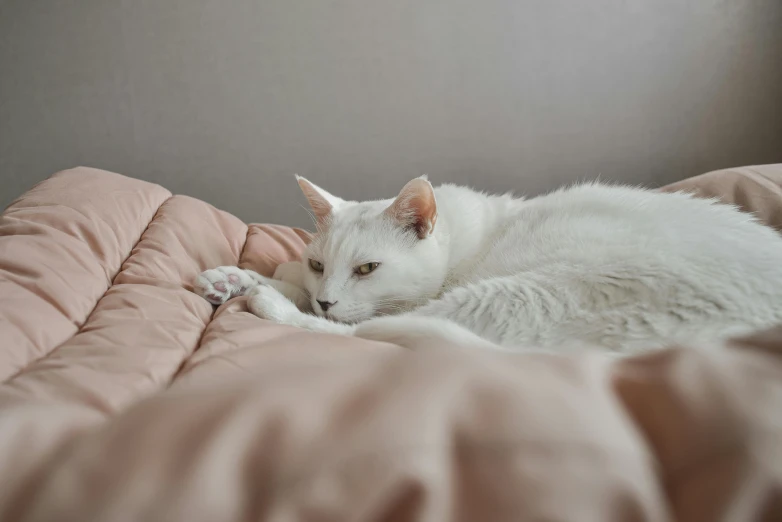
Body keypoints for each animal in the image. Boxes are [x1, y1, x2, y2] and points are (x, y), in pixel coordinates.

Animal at [193, 176, 782, 354]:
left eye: (367, 269)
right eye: (319, 263)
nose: (326, 297)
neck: (464, 239)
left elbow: (353, 320)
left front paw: (261, 285)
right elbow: (288, 275)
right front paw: (230, 276)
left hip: (525, 292)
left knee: (365, 335)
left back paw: (269, 304)